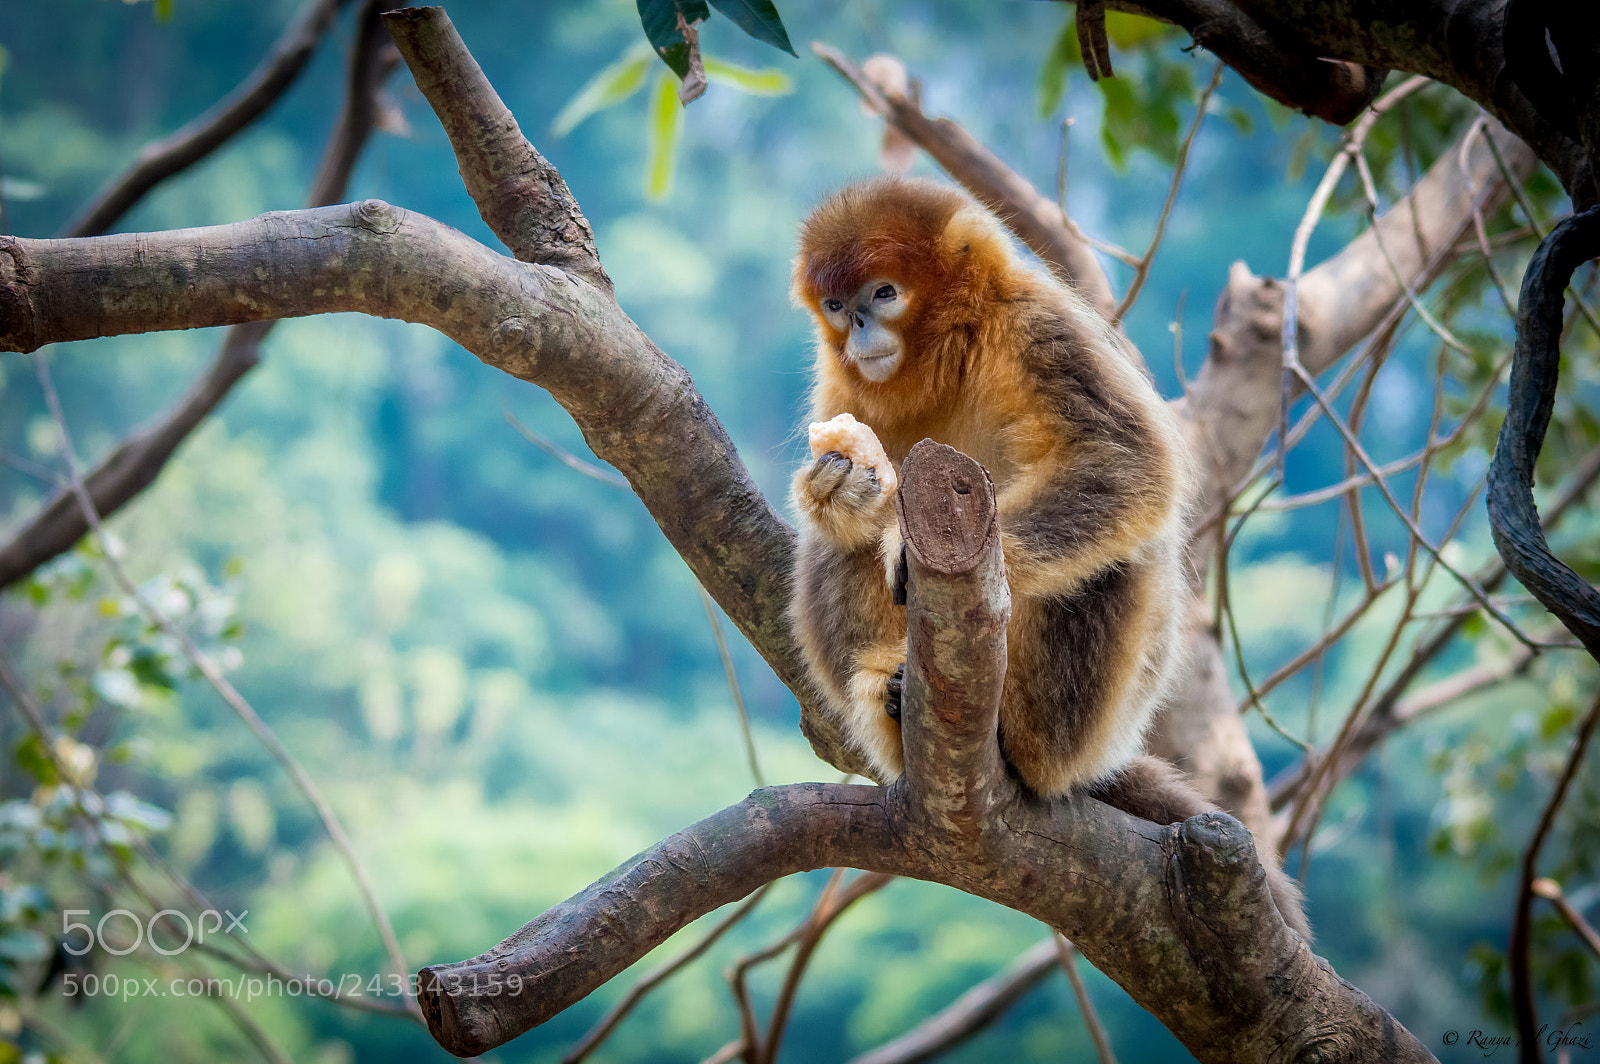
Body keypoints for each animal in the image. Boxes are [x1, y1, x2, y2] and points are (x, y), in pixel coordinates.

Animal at [788, 176, 1309, 940]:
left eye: (883, 294)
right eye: (834, 305)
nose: (855, 326)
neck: (955, 355)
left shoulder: (1040, 326)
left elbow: (1126, 464)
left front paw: (902, 550)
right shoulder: (846, 384)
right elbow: (842, 515)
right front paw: (841, 486)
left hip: (1088, 726)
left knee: (1116, 556)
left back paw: (1025, 742)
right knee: (827, 551)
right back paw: (889, 700)